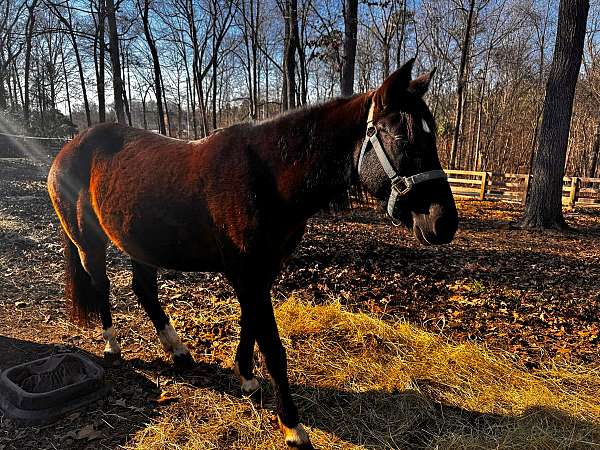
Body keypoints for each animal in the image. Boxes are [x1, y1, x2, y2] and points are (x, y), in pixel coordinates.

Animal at [48, 60, 460, 450]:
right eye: (402, 135)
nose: (444, 223)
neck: (267, 179)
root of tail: (69, 147)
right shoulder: (249, 274)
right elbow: (273, 347)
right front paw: (292, 427)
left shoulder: (260, 273)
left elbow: (250, 324)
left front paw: (245, 377)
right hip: (88, 242)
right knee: (102, 285)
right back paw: (112, 346)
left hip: (139, 243)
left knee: (144, 290)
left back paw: (178, 351)